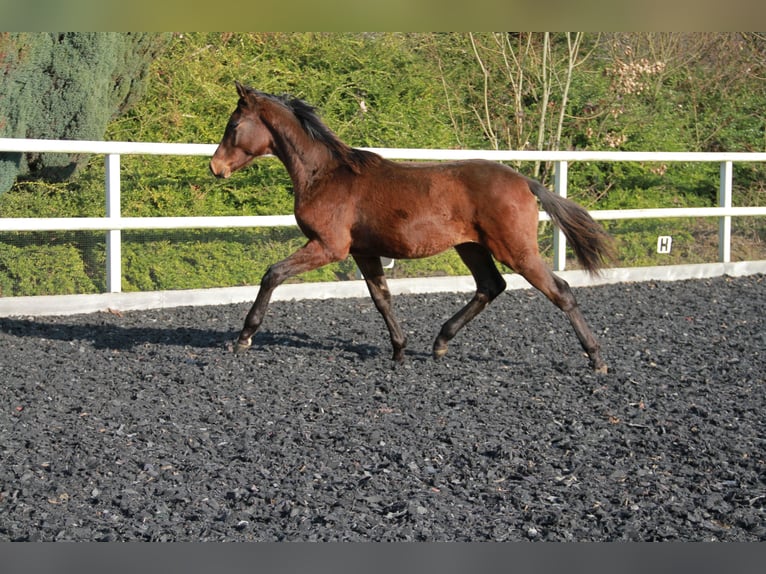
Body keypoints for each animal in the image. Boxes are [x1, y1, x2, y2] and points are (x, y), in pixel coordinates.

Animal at [212, 84, 616, 374]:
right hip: (471, 246)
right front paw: (399, 350)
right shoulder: (364, 251)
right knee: (490, 286)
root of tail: (525, 181)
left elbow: (273, 274)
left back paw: (597, 359)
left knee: (560, 291)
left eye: (233, 126)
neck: (325, 175)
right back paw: (440, 343)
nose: (216, 168)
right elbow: (381, 298)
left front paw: (244, 338)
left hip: (515, 249)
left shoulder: (329, 246)